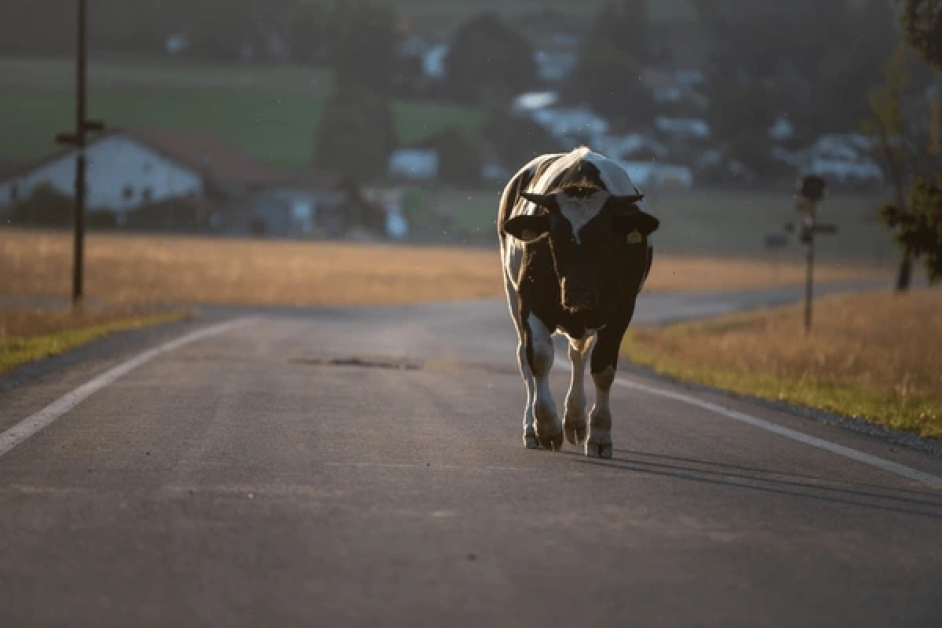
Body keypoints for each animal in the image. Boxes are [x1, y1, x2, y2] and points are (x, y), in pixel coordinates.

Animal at [498, 145, 660, 458]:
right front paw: (547, 428)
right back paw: (532, 429)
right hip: (512, 295)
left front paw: (599, 434)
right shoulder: (529, 304)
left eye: (604, 240)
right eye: (554, 238)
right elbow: (539, 358)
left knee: (578, 356)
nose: (577, 292)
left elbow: (603, 368)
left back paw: (575, 422)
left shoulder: (622, 311)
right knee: (526, 359)